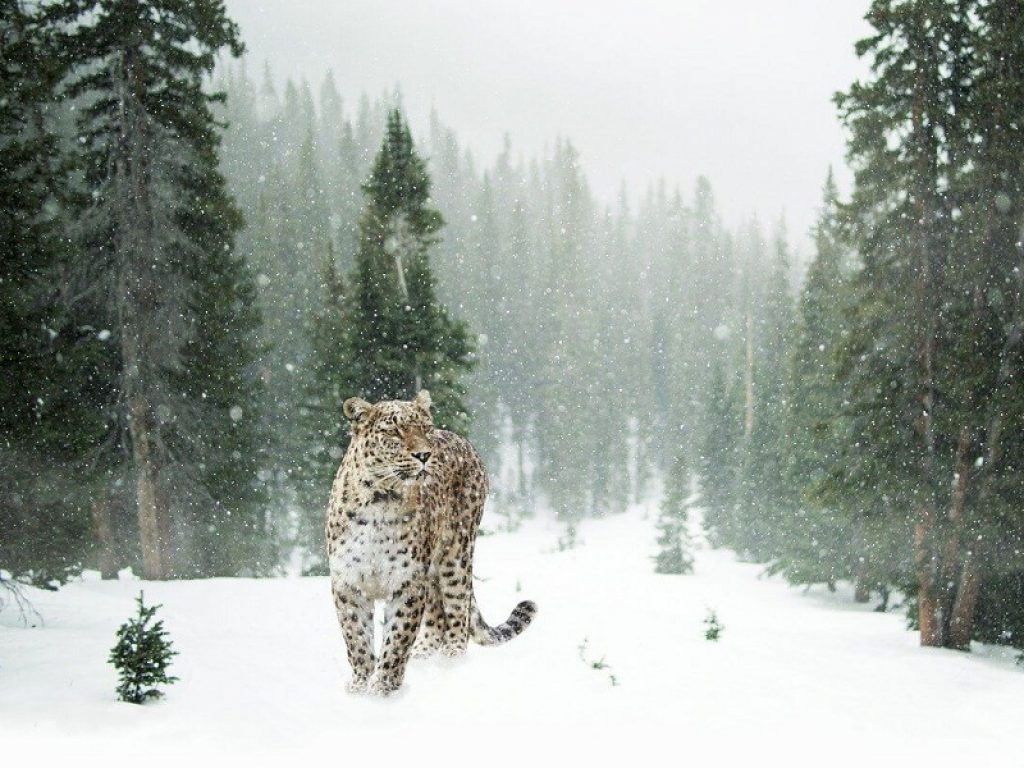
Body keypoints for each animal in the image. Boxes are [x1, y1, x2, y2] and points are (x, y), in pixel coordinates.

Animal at [325, 389, 536, 696]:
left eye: (424, 428)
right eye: (394, 431)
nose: (424, 455)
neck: (380, 500)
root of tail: (463, 440)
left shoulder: (407, 581)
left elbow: (397, 638)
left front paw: (383, 688)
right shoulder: (348, 582)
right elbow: (357, 639)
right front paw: (360, 686)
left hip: (456, 556)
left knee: (458, 611)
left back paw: (451, 662)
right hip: (434, 570)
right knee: (437, 616)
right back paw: (424, 657)